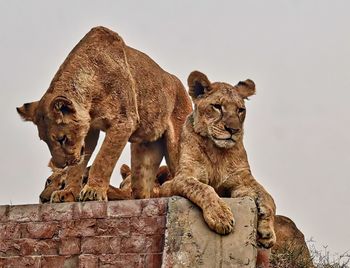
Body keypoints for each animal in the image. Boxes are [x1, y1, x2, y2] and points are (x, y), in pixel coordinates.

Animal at [17, 26, 191, 202]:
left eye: (62, 139)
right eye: (44, 140)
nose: (59, 165)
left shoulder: (124, 121)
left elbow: (103, 159)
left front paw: (93, 191)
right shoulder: (89, 131)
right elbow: (77, 167)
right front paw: (68, 193)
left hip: (176, 145)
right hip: (143, 158)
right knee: (143, 191)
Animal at [163, 70, 278, 248]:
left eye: (240, 110)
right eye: (217, 106)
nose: (233, 130)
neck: (216, 150)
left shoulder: (242, 178)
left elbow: (268, 197)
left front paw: (268, 232)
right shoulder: (181, 177)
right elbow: (203, 188)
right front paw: (221, 216)